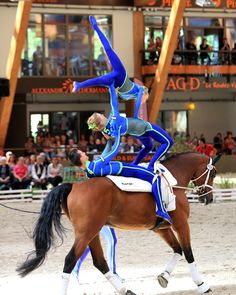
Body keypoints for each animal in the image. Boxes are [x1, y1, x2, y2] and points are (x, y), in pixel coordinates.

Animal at [17, 154, 218, 294]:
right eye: (214, 173)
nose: (208, 198)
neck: (173, 180)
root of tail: (74, 186)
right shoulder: (181, 224)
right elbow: (188, 252)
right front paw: (202, 284)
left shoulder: (161, 229)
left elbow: (177, 250)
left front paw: (164, 277)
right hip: (87, 232)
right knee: (70, 260)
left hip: (91, 232)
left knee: (99, 262)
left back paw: (125, 290)